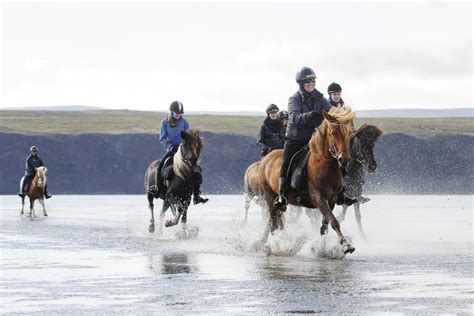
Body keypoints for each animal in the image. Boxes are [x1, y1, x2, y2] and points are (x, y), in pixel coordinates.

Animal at [260, 106, 356, 254]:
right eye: (333, 132)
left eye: (349, 133)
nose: (343, 160)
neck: (324, 166)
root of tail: (266, 158)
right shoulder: (319, 199)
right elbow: (334, 221)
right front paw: (346, 245)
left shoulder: (332, 200)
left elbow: (325, 225)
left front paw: (322, 248)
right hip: (270, 198)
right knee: (274, 223)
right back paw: (277, 245)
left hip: (278, 204)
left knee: (275, 221)